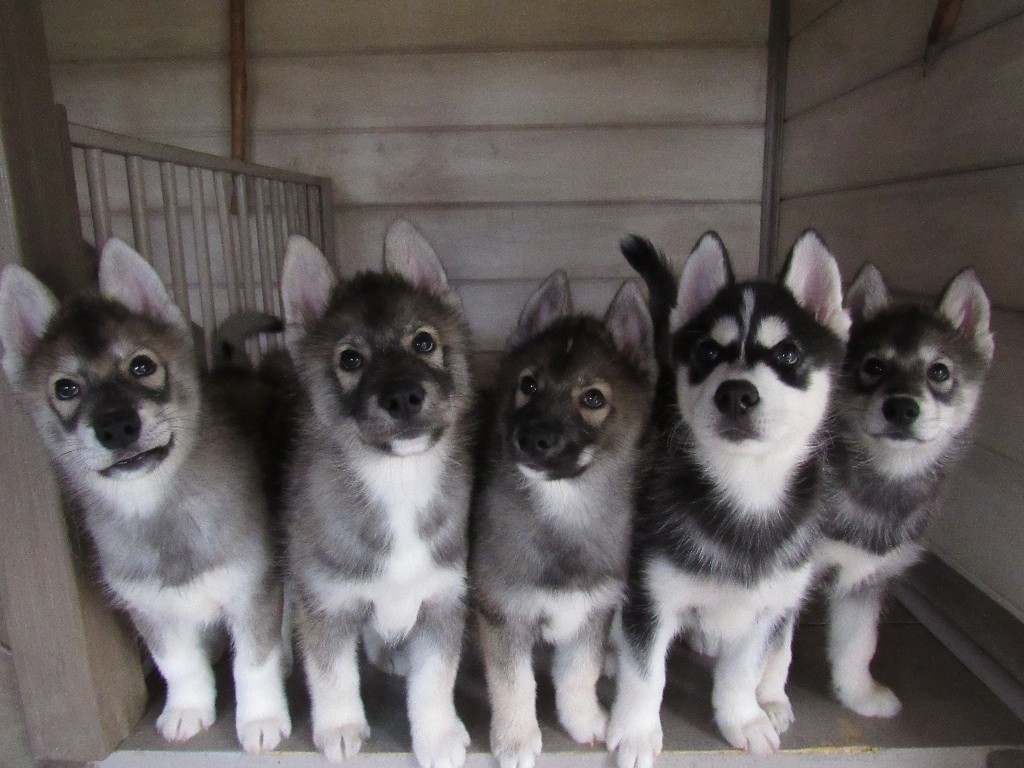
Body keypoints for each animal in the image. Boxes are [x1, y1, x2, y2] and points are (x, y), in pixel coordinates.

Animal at [0, 239, 292, 753]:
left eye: (142, 366)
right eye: (65, 388)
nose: (117, 426)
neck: (157, 509)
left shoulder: (254, 589)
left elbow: (254, 663)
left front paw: (260, 720)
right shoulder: (148, 607)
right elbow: (178, 664)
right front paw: (188, 709)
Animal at [278, 222, 473, 768]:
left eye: (424, 342)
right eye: (350, 359)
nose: (403, 397)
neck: (397, 481)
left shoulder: (441, 600)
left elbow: (435, 681)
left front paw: (437, 736)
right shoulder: (327, 602)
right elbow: (331, 674)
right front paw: (340, 727)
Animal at [471, 270, 655, 768]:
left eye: (592, 398)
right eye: (529, 385)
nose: (533, 439)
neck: (563, 511)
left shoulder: (591, 609)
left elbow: (578, 674)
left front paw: (583, 721)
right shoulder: (503, 614)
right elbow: (514, 685)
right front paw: (516, 738)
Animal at [602, 231, 851, 761]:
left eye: (789, 355)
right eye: (708, 353)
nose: (736, 393)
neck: (745, 491)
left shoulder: (766, 608)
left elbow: (743, 670)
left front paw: (742, 717)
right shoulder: (651, 595)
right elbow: (645, 672)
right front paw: (636, 731)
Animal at [819, 266, 995, 720]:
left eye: (939, 372)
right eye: (874, 366)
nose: (901, 407)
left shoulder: (868, 577)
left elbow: (858, 644)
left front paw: (858, 695)